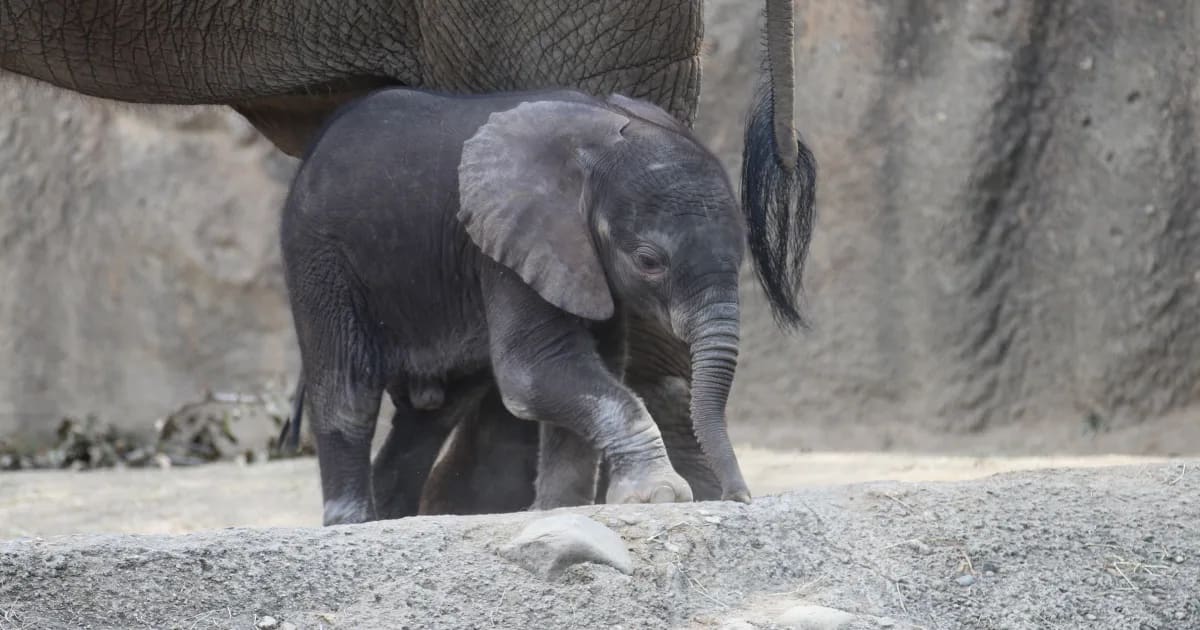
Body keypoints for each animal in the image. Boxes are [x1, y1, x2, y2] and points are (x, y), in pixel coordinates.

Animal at [281, 87, 750, 525]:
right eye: (649, 262)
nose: (738, 496)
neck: (600, 140)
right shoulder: (506, 246)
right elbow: (533, 371)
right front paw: (658, 495)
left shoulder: (580, 262)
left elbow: (593, 365)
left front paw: (560, 508)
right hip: (320, 258)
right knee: (347, 392)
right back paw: (352, 522)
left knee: (431, 416)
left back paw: (392, 517)